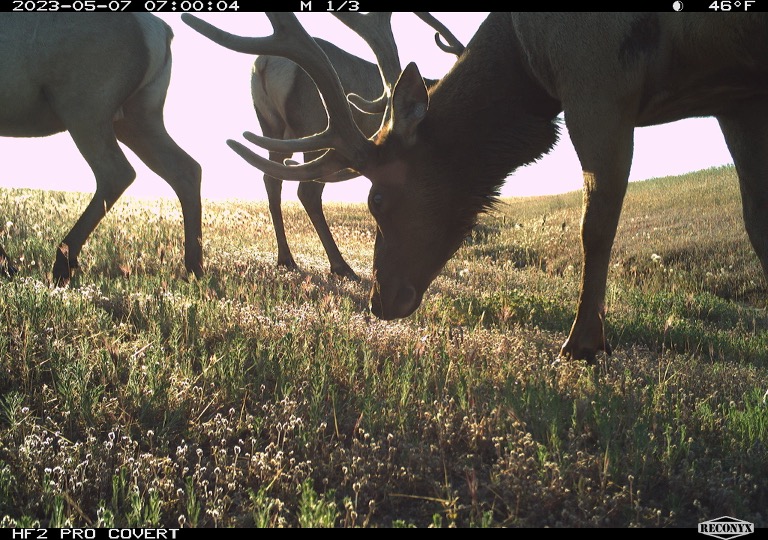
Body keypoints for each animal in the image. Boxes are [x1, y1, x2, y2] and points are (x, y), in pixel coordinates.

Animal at [0, 13, 203, 286]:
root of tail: (161, 30)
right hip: (139, 116)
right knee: (186, 168)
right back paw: (194, 268)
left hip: (84, 109)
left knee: (117, 172)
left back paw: (63, 263)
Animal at [253, 13, 463, 280]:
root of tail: (265, 63)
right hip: (315, 123)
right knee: (307, 191)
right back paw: (340, 265)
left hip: (272, 127)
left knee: (271, 178)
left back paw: (285, 258)